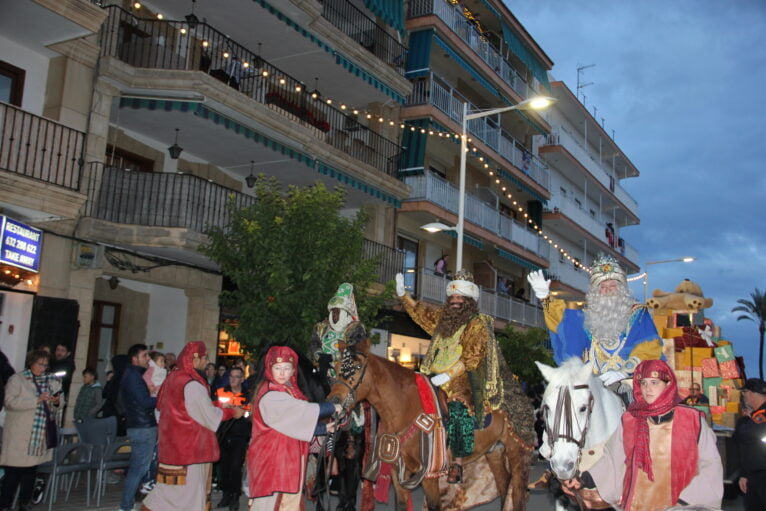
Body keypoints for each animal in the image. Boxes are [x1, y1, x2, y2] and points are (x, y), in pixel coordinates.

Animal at [326, 342, 536, 510]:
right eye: (335, 368)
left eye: (356, 367)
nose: (334, 402)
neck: (406, 408)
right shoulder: (398, 472)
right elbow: (401, 505)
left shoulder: (429, 475)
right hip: (494, 452)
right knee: (504, 484)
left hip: (517, 452)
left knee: (516, 492)